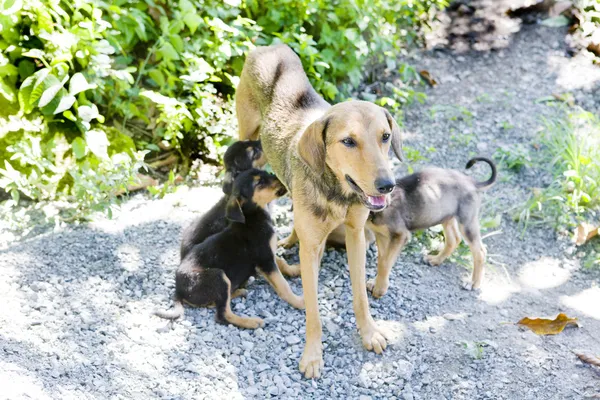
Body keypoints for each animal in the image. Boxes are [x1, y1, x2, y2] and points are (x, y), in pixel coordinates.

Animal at [155, 169, 304, 328]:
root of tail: (178, 291)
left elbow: (282, 262)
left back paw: (238, 291)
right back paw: (251, 321)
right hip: (218, 276)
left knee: (216, 303)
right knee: (222, 314)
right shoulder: (265, 260)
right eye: (259, 182)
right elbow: (283, 285)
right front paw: (299, 302)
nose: (284, 178)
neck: (252, 217)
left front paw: (296, 270)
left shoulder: (268, 253)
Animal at [236, 43, 404, 378]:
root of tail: (268, 46)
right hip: (246, 135)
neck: (337, 192)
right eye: (348, 141)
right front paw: (312, 355)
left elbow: (361, 296)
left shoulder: (355, 236)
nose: (387, 186)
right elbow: (313, 310)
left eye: (386, 137)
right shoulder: (311, 250)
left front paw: (369, 333)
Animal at [366, 156, 496, 296]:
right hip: (446, 216)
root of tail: (473, 182)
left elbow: (385, 263)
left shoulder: (400, 235)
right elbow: (381, 260)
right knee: (454, 239)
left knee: (480, 251)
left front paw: (379, 289)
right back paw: (436, 260)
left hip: (467, 222)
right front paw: (375, 283)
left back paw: (473, 283)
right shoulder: (382, 236)